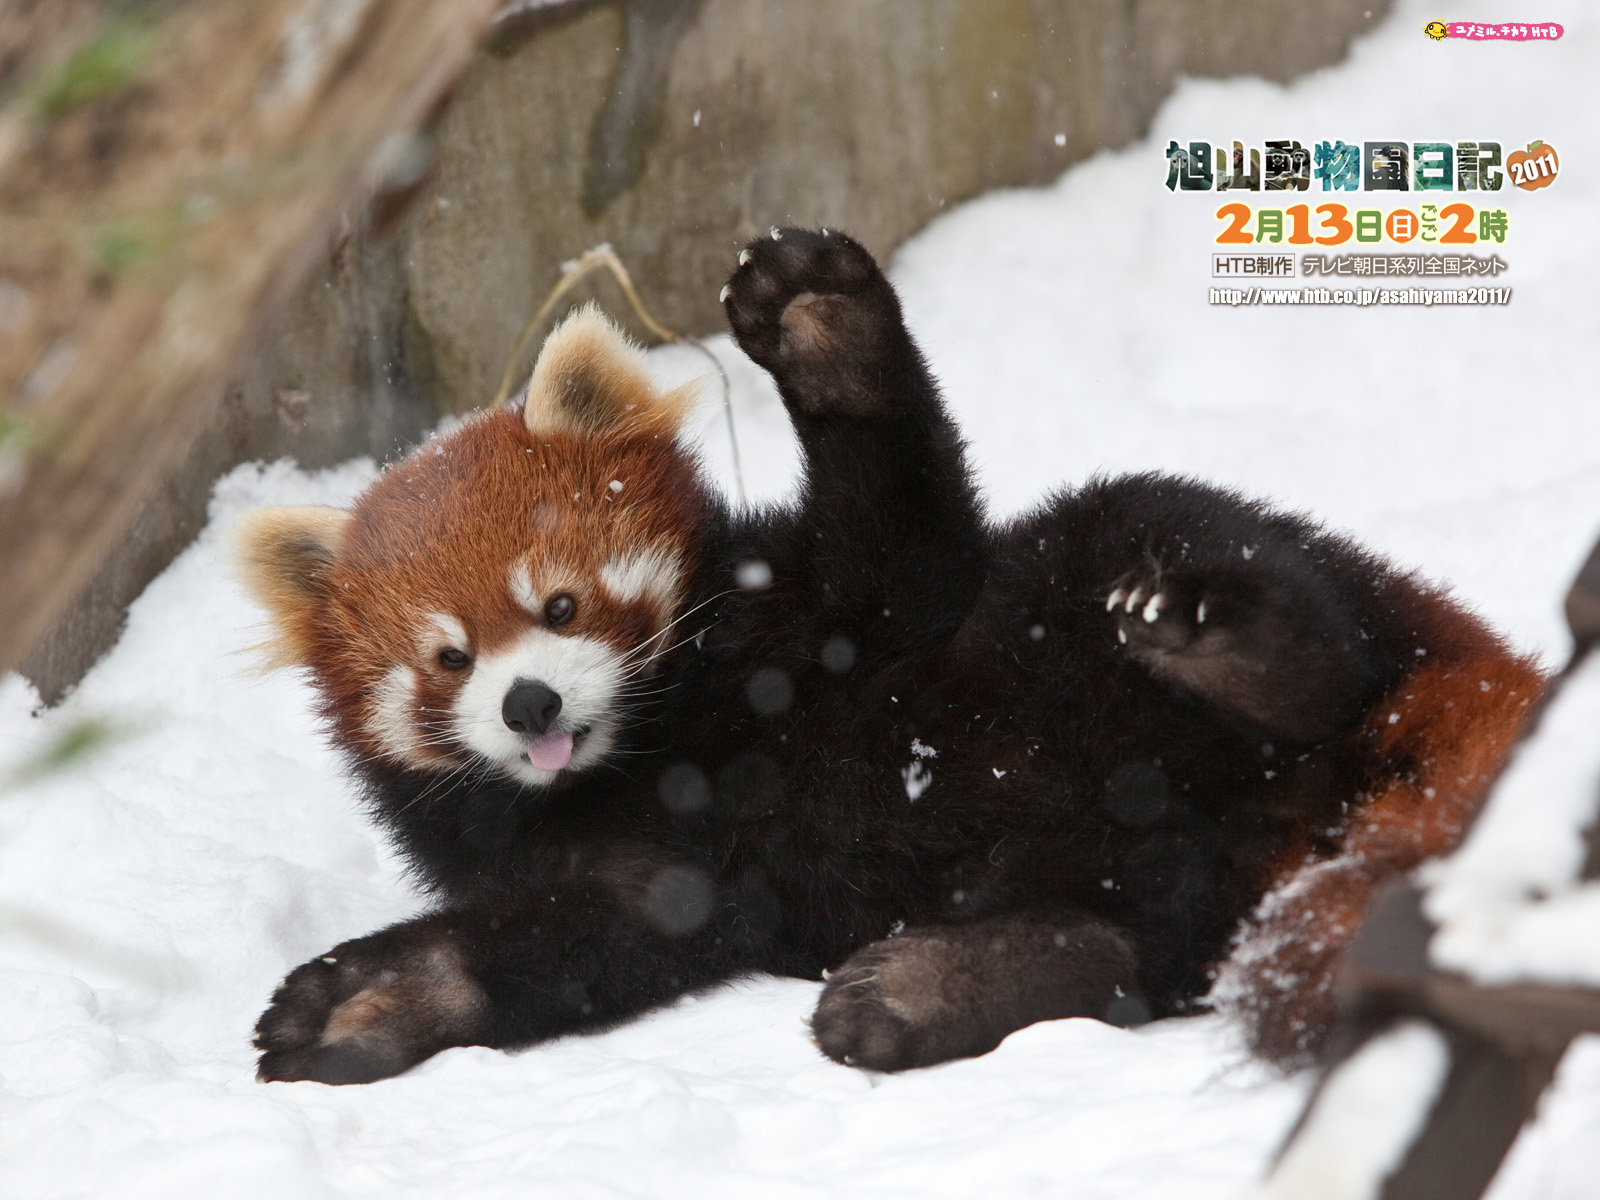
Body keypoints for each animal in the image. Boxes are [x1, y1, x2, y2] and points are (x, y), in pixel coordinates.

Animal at [233, 227, 1536, 1088]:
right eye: (449, 660)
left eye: (558, 606)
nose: (531, 704)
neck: (658, 754)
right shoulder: (637, 873)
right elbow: (575, 941)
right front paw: (369, 998)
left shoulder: (836, 609)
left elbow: (907, 532)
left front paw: (823, 327)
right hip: (1154, 867)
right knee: (1131, 940)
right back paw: (922, 992)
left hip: (1144, 583)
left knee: (1227, 585)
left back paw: (1233, 648)